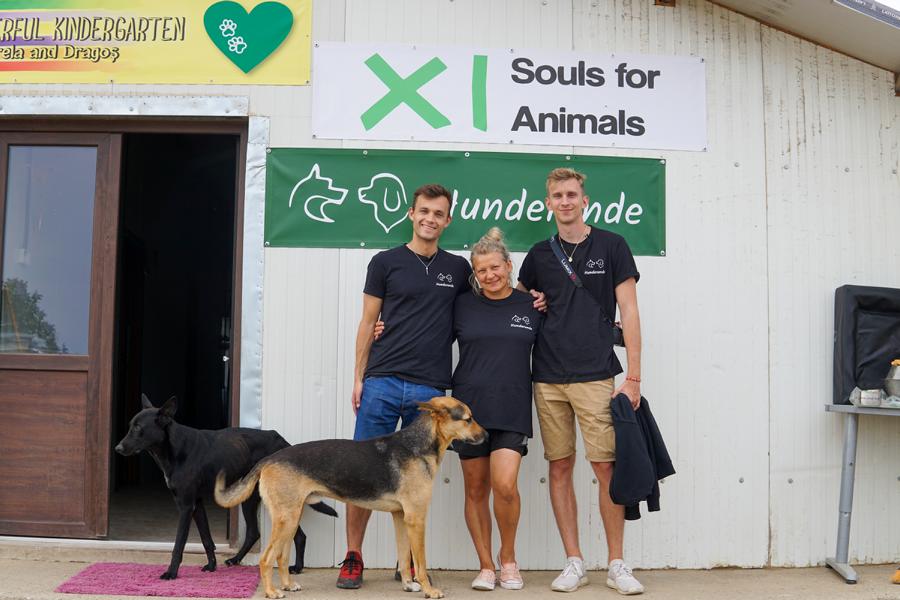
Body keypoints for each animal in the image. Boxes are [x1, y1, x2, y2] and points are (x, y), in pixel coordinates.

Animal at [113, 396, 338, 580]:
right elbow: (206, 539)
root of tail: (282, 441)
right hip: (251, 498)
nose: (117, 448)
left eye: (138, 428)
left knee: (297, 535)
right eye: (131, 426)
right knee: (255, 532)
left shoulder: (185, 506)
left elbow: (178, 544)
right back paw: (237, 559)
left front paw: (171, 573)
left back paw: (297, 567)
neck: (173, 448)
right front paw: (212, 566)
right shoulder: (196, 504)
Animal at [214, 396, 486, 596]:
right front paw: (429, 590)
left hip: (291, 518)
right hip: (286, 519)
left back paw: (288, 585)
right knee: (266, 558)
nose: (487, 436)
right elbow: (420, 561)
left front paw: (409, 585)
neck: (417, 445)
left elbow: (403, 555)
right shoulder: (416, 518)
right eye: (468, 419)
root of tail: (268, 459)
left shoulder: (401, 517)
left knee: (281, 556)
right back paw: (271, 592)